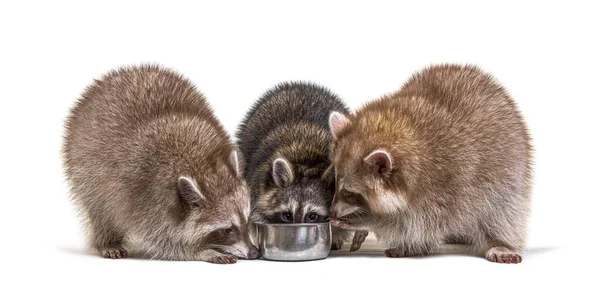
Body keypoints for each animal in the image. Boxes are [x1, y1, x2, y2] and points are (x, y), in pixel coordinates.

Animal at [63, 64, 260, 264]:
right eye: (227, 230)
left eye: (247, 219)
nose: (254, 252)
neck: (200, 165)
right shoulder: (145, 200)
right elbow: (164, 243)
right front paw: (204, 251)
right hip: (82, 165)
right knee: (98, 208)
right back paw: (107, 241)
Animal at [237, 81, 352, 249]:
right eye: (287, 215)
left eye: (312, 216)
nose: (295, 237)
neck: (307, 164)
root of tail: (301, 85)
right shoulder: (258, 179)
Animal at [330, 63, 532, 264]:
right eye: (334, 183)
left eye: (349, 192)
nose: (331, 212)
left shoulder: (445, 188)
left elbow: (414, 226)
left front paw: (367, 220)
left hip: (510, 174)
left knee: (502, 213)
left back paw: (498, 242)